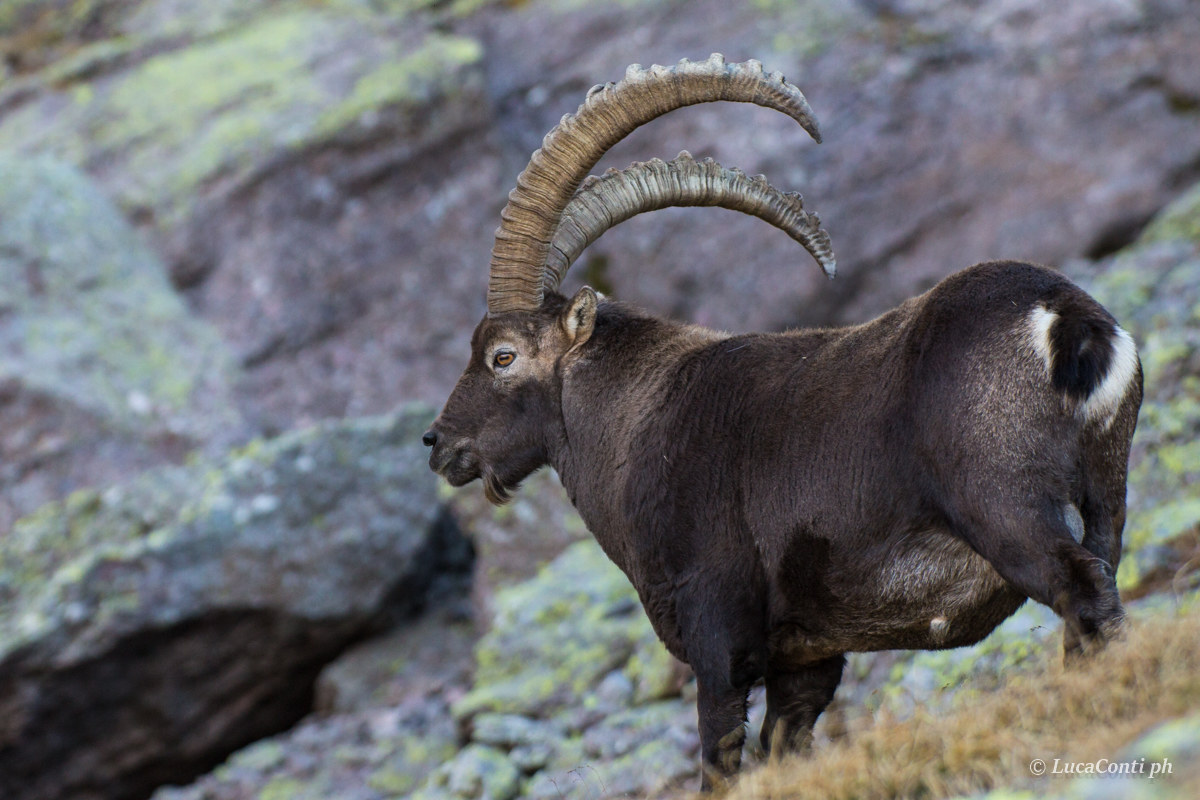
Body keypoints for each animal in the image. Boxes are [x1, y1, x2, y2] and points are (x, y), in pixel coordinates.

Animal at [423, 55, 1142, 790]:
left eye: (502, 355)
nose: (440, 443)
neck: (633, 421)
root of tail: (1062, 316)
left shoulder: (717, 632)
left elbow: (719, 757)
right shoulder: (806, 657)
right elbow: (784, 746)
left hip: (1004, 505)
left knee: (1079, 588)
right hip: (1106, 487)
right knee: (1103, 579)